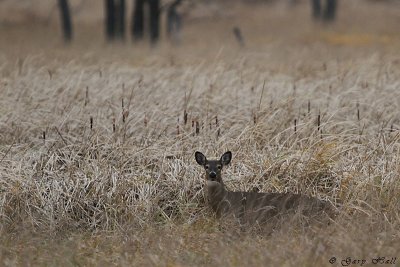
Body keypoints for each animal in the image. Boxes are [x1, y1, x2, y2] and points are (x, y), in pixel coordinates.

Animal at [195, 152, 336, 227]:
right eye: (206, 166)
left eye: (219, 166)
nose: (213, 174)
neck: (223, 201)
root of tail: (329, 206)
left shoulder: (234, 215)